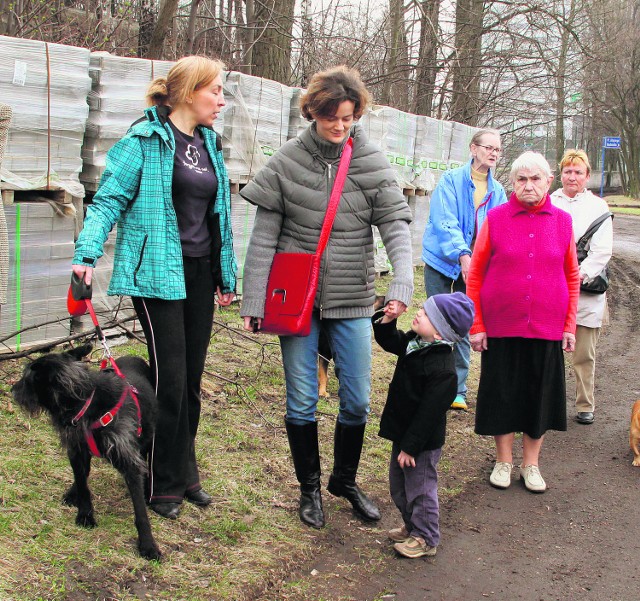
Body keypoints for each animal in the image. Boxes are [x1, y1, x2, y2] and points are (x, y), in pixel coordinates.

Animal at [11, 344, 161, 560]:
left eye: (28, 379)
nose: (12, 390)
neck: (86, 404)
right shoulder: (77, 451)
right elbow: (83, 485)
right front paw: (85, 514)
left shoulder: (128, 460)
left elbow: (140, 509)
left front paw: (148, 544)